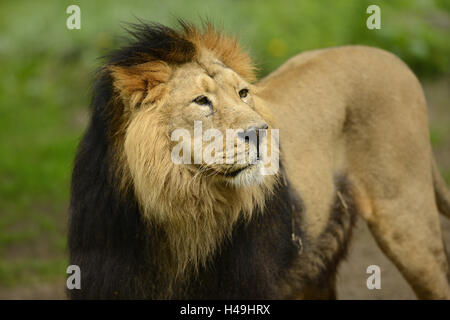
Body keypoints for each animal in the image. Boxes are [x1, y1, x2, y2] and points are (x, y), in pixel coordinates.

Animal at [68, 21, 450, 298]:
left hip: (407, 221)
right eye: (201, 101)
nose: (262, 133)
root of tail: (389, 56)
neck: (176, 209)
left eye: (243, 93)